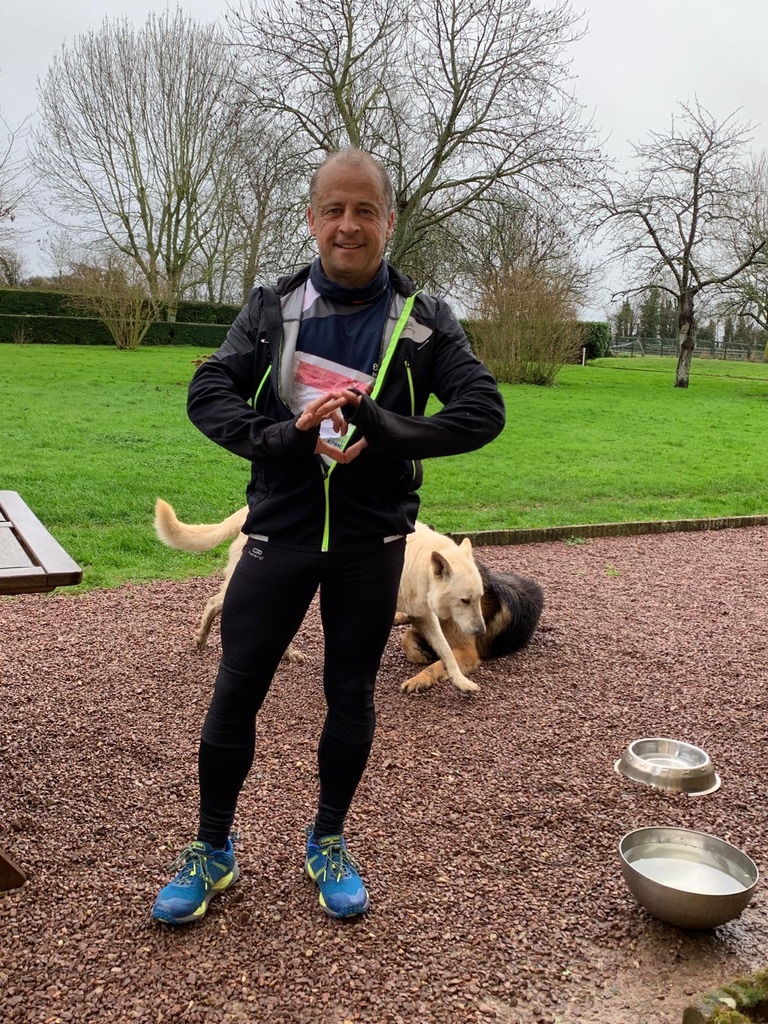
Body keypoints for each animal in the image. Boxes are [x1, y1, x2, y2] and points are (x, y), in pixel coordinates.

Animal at [396, 524, 544, 694]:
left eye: (474, 599)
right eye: (465, 600)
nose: (480, 631)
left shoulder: (466, 652)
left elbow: (439, 663)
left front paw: (420, 678)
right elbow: (406, 637)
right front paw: (419, 655)